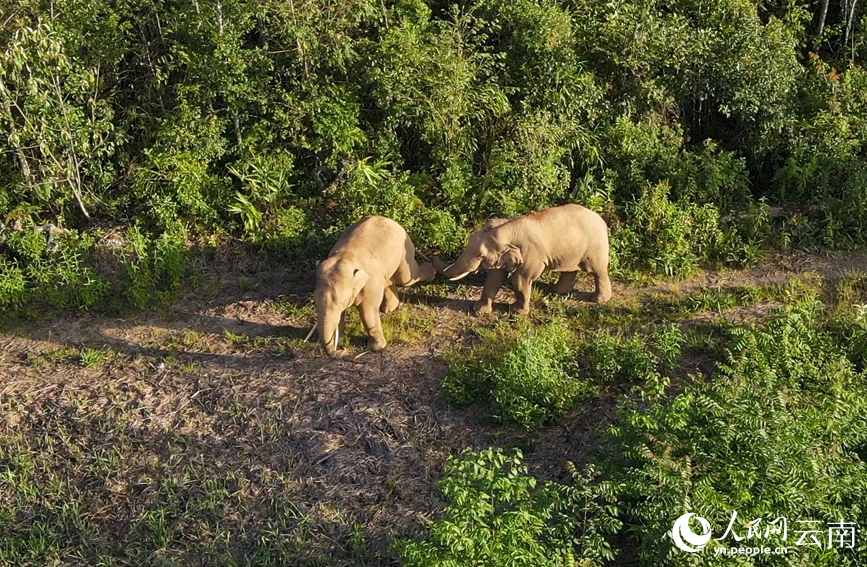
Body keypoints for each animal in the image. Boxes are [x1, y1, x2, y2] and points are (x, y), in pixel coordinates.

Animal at [314, 215, 436, 357]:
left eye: (341, 303)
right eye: (315, 301)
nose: (341, 348)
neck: (346, 258)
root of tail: (387, 219)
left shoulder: (371, 284)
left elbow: (368, 311)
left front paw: (376, 347)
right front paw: (343, 338)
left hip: (405, 250)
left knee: (407, 278)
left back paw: (432, 268)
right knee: (389, 280)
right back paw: (389, 308)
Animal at [435, 204, 611, 314]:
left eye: (480, 255)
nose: (434, 255)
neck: (508, 228)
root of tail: (601, 220)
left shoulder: (531, 254)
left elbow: (521, 279)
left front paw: (516, 312)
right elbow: (494, 278)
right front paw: (478, 310)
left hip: (596, 247)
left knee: (598, 271)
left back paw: (598, 300)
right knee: (570, 269)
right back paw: (557, 291)